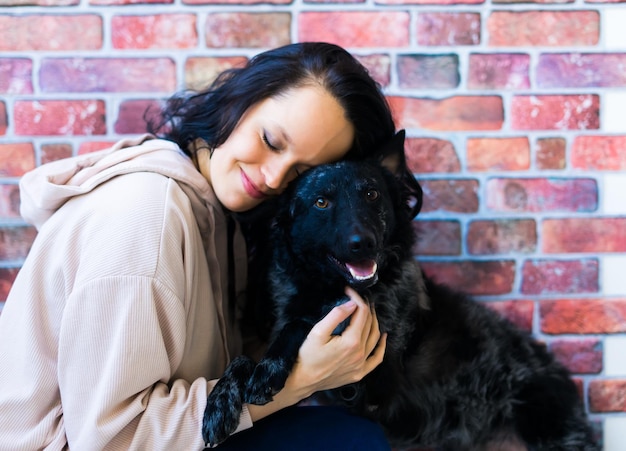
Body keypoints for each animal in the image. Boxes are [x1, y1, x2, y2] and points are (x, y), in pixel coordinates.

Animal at [202, 130, 596, 448]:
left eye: (372, 194)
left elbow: (300, 323)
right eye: (321, 201)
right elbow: (243, 357)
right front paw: (220, 403)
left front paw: (268, 368)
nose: (363, 243)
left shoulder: (373, 384)